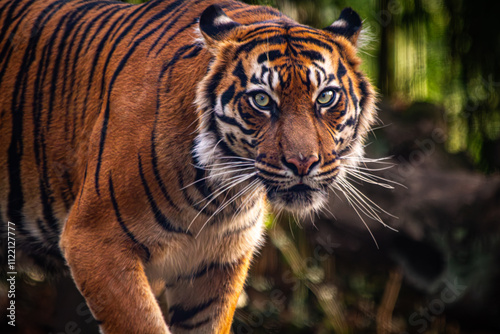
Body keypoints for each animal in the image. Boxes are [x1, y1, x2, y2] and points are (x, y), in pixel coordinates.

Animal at [0, 0, 376, 332]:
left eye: (325, 97)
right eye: (261, 100)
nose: (303, 162)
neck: (220, 195)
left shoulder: (216, 263)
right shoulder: (95, 240)